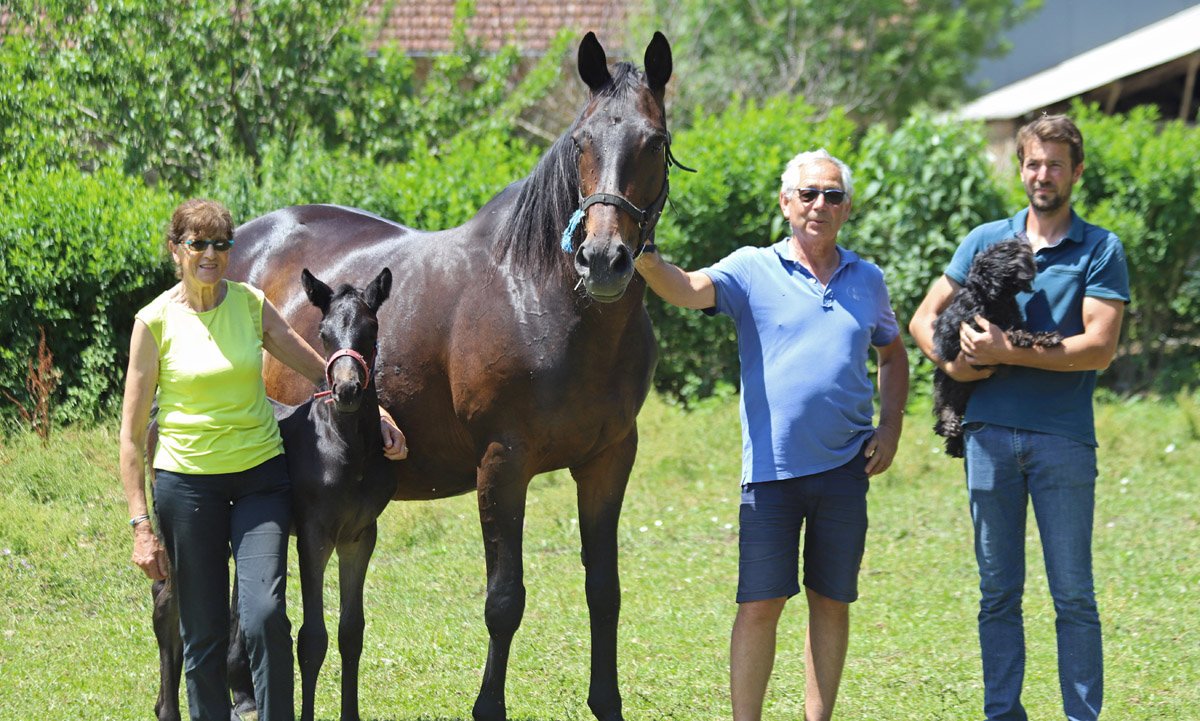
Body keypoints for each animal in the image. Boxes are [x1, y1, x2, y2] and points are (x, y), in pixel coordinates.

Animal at [223, 31, 680, 721]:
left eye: (655, 141)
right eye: (581, 141)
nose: (602, 260)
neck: (543, 298)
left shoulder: (608, 460)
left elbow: (604, 590)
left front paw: (607, 702)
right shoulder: (502, 464)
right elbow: (504, 600)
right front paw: (488, 705)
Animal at [932, 237, 1062, 458]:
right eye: (1007, 250)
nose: (1021, 239)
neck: (993, 299)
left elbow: (1022, 328)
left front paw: (1047, 338)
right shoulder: (970, 331)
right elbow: (1004, 330)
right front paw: (1019, 337)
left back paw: (955, 444)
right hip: (946, 382)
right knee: (942, 409)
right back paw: (949, 423)